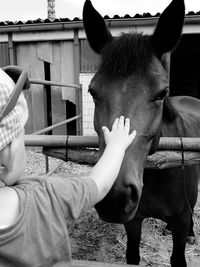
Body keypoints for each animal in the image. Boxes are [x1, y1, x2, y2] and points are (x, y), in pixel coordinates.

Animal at [82, 1, 199, 266]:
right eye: (92, 91)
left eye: (162, 93)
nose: (115, 196)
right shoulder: (133, 221)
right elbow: (133, 255)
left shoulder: (180, 219)